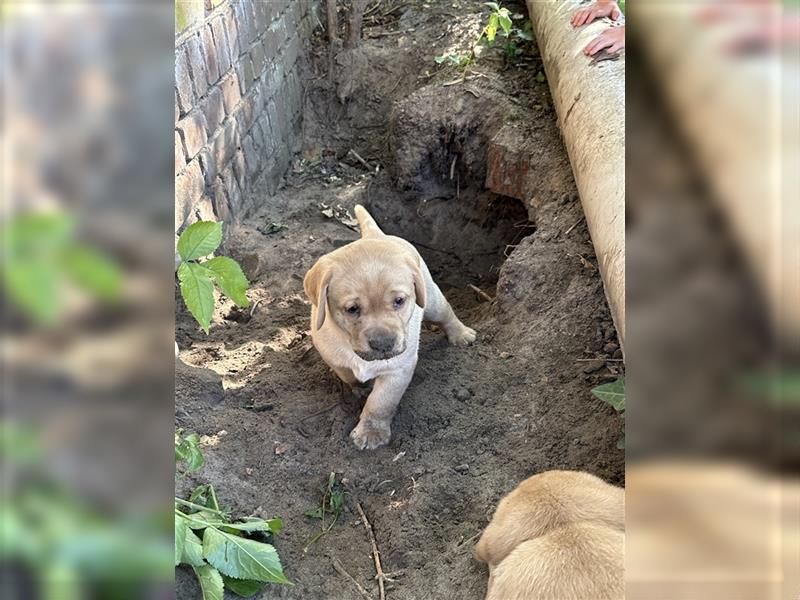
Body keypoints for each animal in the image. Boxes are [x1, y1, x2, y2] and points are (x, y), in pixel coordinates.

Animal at [304, 204, 472, 448]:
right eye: (352, 309)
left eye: (399, 301)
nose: (384, 344)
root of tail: (377, 235)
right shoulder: (331, 355)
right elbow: (346, 374)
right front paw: (360, 388)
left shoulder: (398, 368)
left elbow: (381, 402)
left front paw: (371, 431)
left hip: (431, 299)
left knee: (446, 313)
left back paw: (461, 334)